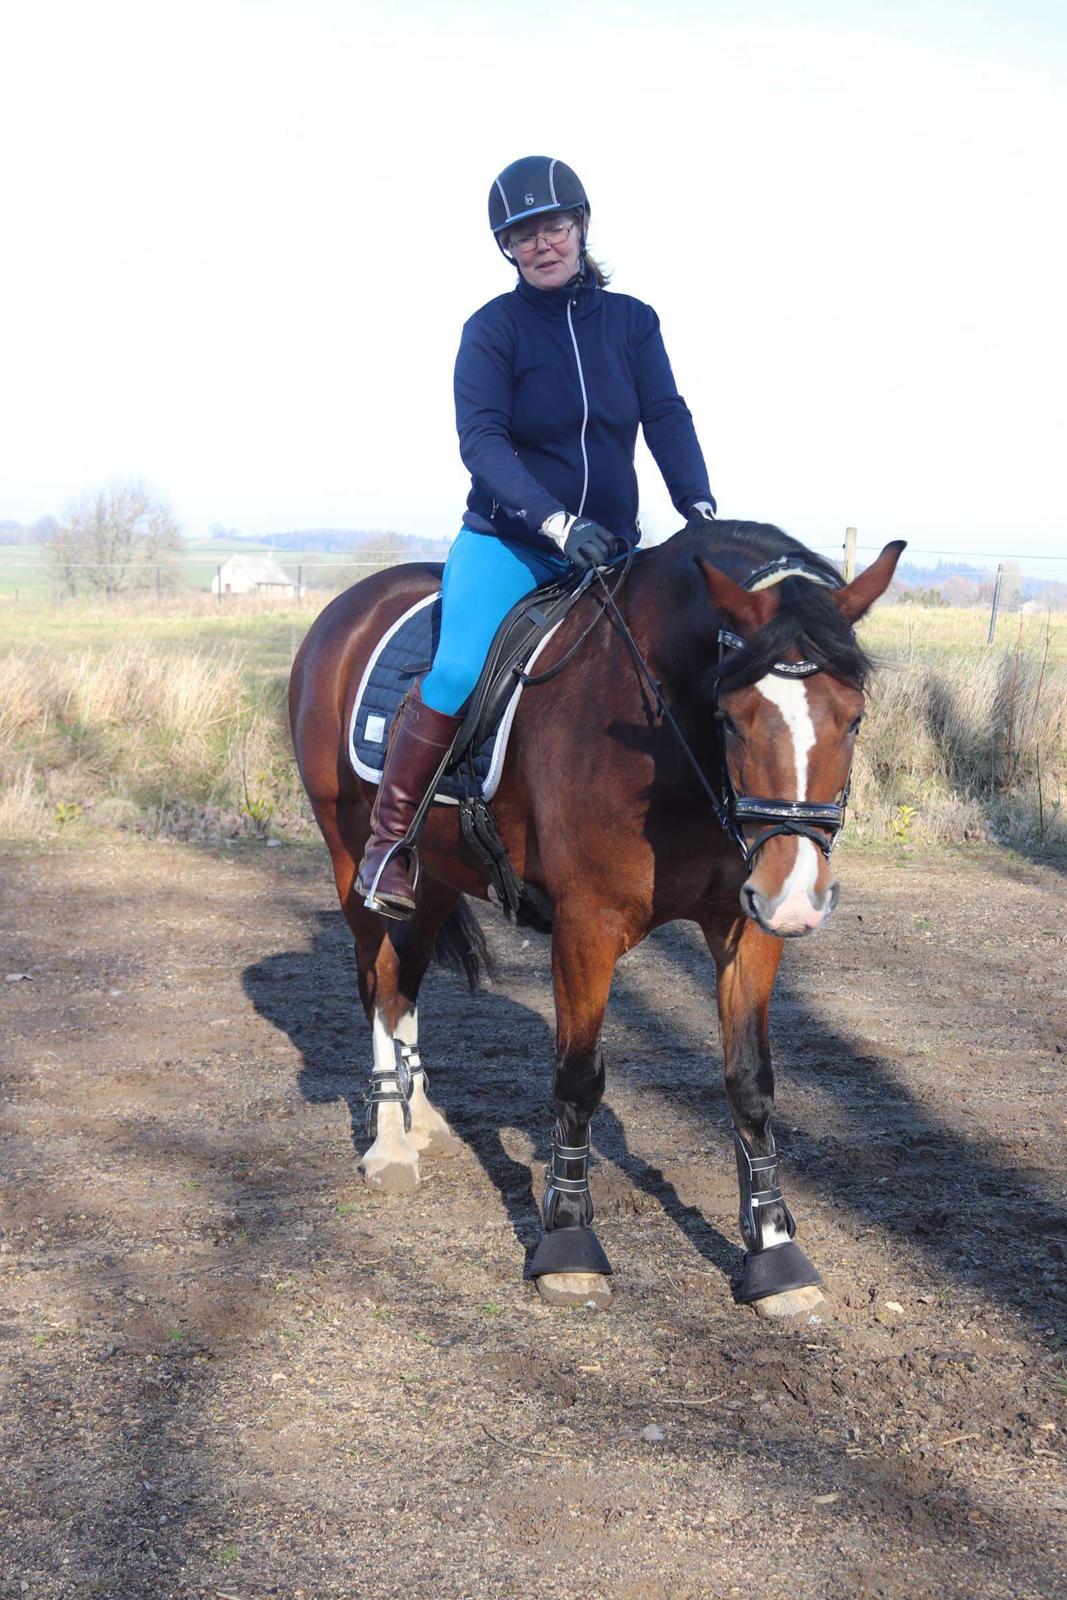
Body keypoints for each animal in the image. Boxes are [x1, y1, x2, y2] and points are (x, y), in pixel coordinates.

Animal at [286, 518, 902, 1318]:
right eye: (731, 720)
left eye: (852, 719)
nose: (795, 895)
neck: (669, 740)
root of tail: (349, 606)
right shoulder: (588, 927)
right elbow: (578, 1078)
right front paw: (568, 1241)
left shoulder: (746, 931)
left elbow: (749, 1082)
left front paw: (774, 1251)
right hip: (353, 858)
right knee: (378, 980)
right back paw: (390, 1141)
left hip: (438, 877)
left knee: (404, 983)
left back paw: (423, 1122)